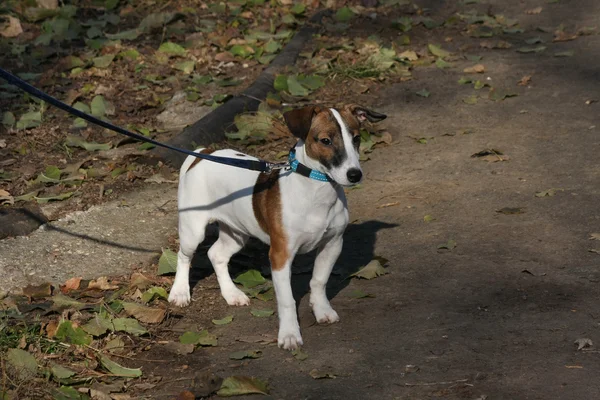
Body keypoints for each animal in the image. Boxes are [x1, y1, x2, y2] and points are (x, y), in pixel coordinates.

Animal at [166, 104, 386, 350]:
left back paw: (232, 294)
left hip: (237, 232)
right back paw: (180, 292)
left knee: (216, 255)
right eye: (326, 141)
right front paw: (289, 334)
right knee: (184, 256)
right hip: (193, 230)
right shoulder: (281, 256)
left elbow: (319, 281)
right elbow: (287, 300)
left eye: (356, 138)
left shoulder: (332, 245)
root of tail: (204, 154)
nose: (355, 175)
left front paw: (322, 310)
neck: (316, 190)